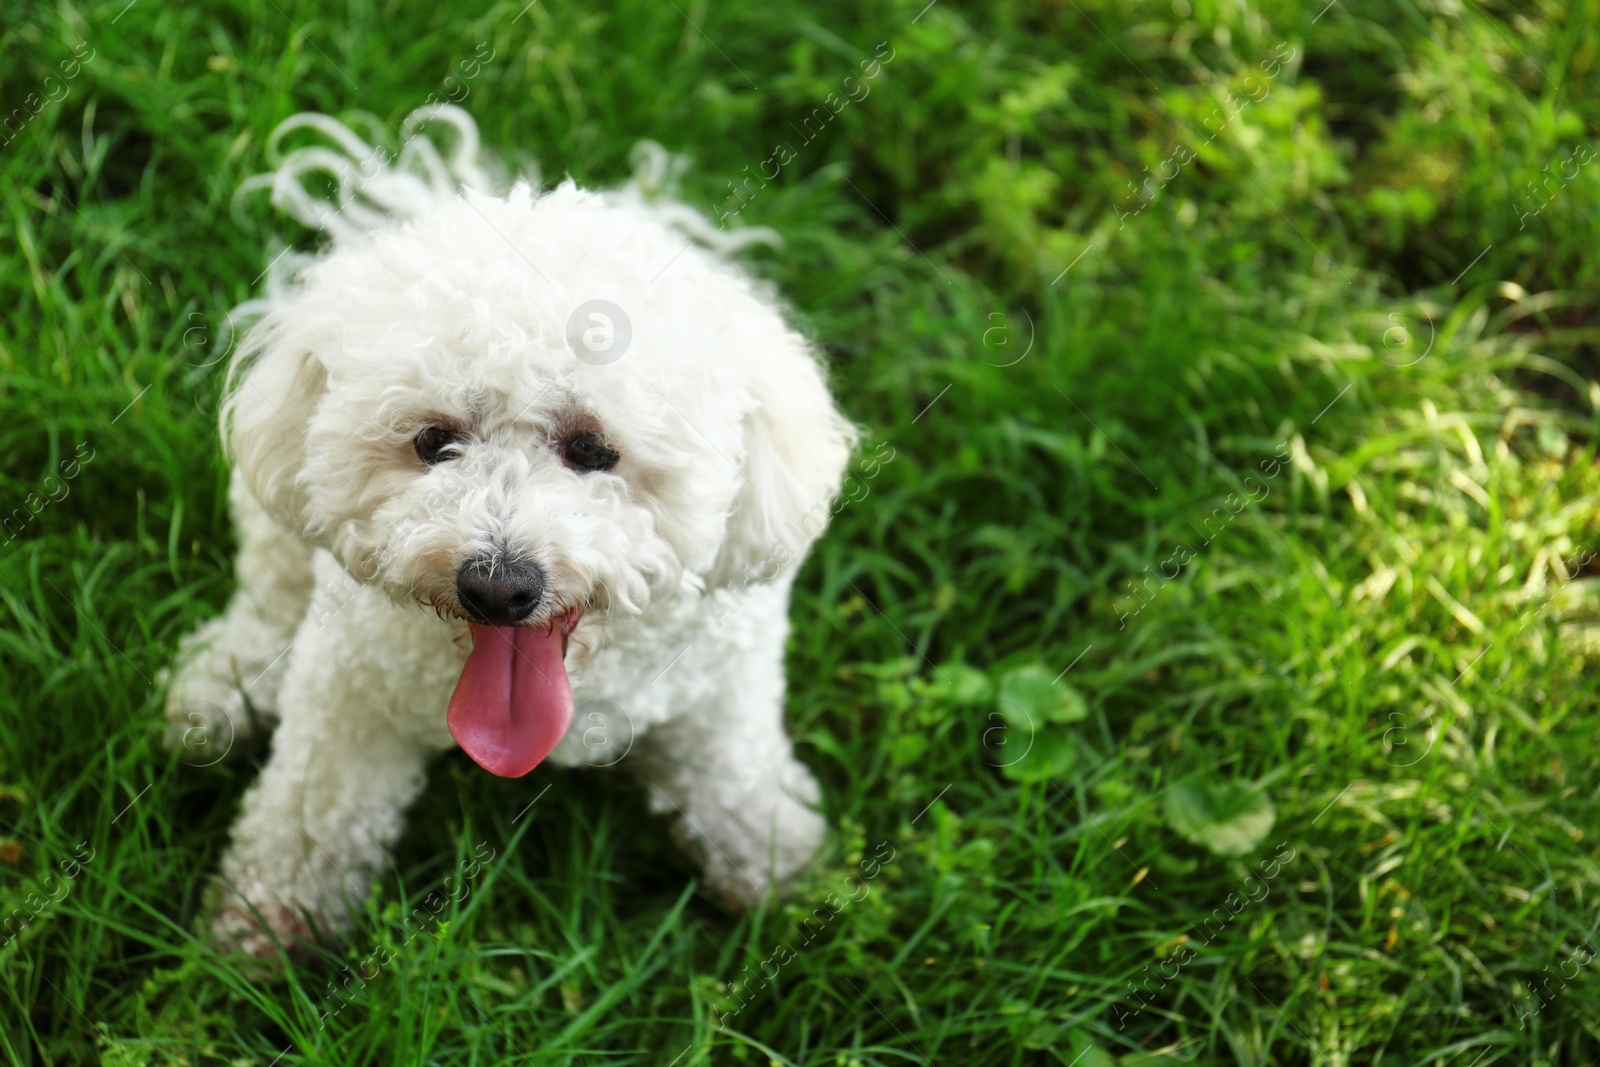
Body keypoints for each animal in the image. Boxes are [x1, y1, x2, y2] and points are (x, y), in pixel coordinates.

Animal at [164, 106, 857, 959]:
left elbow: (736, 770)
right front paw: (270, 914)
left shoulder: (726, 685)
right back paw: (220, 690)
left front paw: (781, 863)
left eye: (593, 449)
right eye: (434, 441)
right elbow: (312, 805)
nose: (498, 586)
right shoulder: (348, 692)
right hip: (278, 526)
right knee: (267, 600)